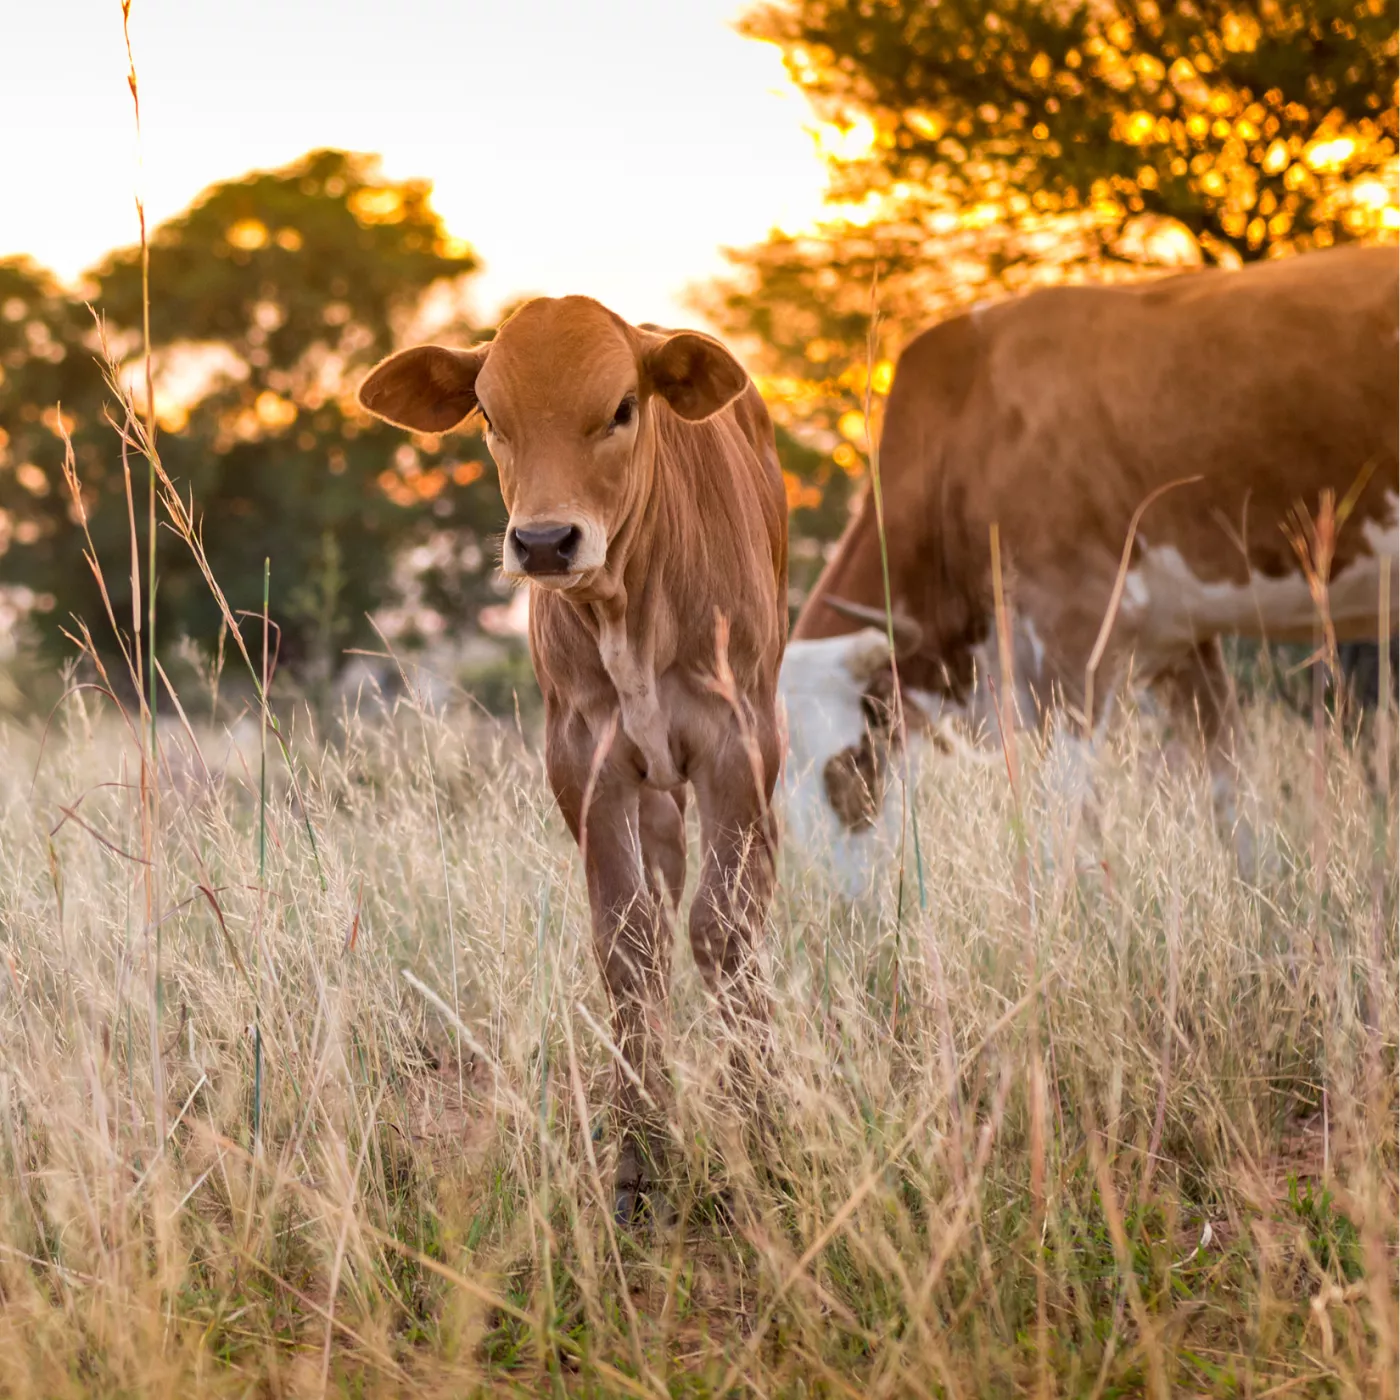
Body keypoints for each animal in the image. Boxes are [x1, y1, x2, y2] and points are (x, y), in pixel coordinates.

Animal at [358, 298, 788, 1220]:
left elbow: (726, 929)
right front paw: (643, 1159)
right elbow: (626, 942)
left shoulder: (738, 748)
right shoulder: (586, 765)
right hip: (655, 792)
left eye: (623, 408)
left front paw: (765, 1135)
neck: (630, 605)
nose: (547, 541)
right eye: (490, 417)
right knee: (659, 910)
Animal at [779, 244, 1399, 893]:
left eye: (854, 760)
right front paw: (1264, 900)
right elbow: (1231, 795)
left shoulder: (1073, 631)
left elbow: (1062, 816)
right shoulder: (1182, 641)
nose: (845, 903)